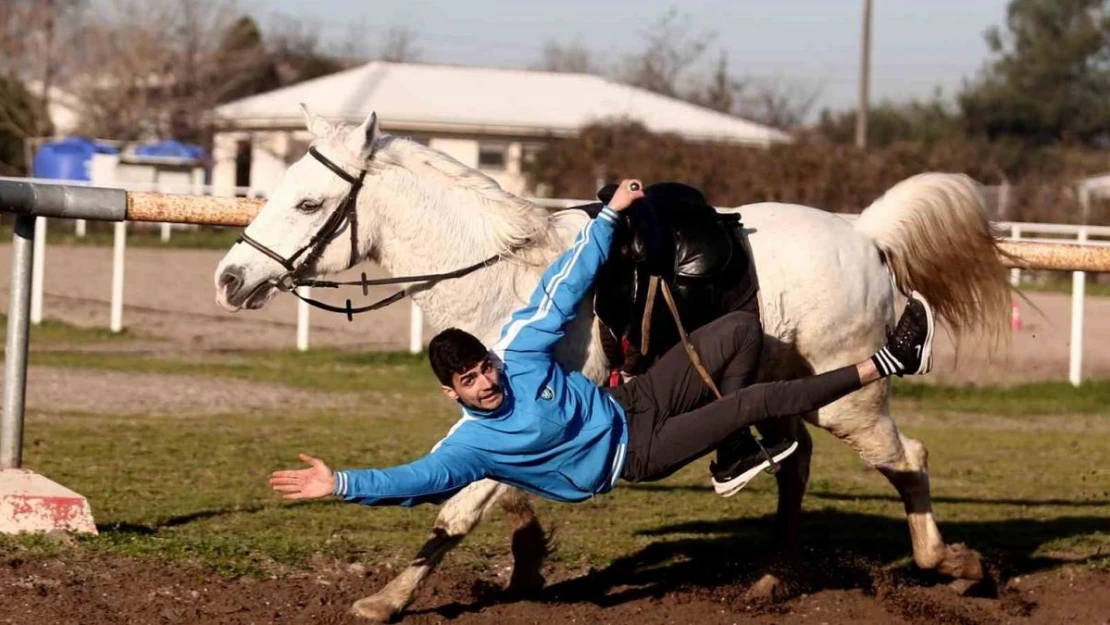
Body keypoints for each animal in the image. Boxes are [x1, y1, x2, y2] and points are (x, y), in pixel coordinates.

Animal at [212, 107, 1012, 621]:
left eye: (308, 201)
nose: (229, 278)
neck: (505, 270)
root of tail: (866, 235)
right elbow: (501, 494)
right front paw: (527, 562)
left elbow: (459, 508)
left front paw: (387, 599)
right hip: (782, 388)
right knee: (795, 463)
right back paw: (771, 578)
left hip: (846, 401)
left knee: (909, 458)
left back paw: (956, 565)